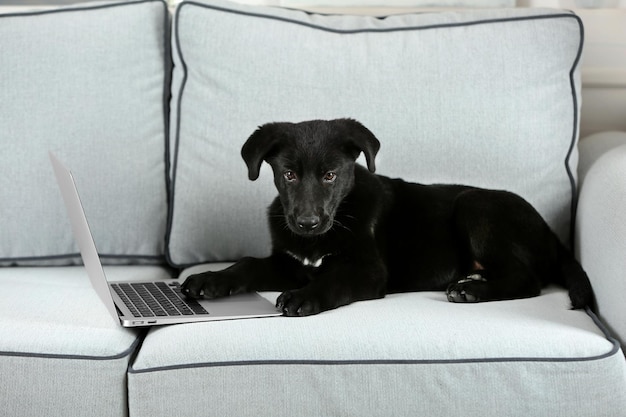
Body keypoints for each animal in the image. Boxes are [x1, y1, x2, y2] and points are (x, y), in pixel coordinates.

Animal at [180, 117, 588, 316]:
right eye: (289, 175)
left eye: (330, 175)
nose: (307, 223)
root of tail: (552, 234)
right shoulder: (289, 263)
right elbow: (247, 263)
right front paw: (209, 279)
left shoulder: (368, 270)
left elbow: (333, 280)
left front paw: (304, 297)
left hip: (476, 205)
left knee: (528, 279)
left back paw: (472, 290)